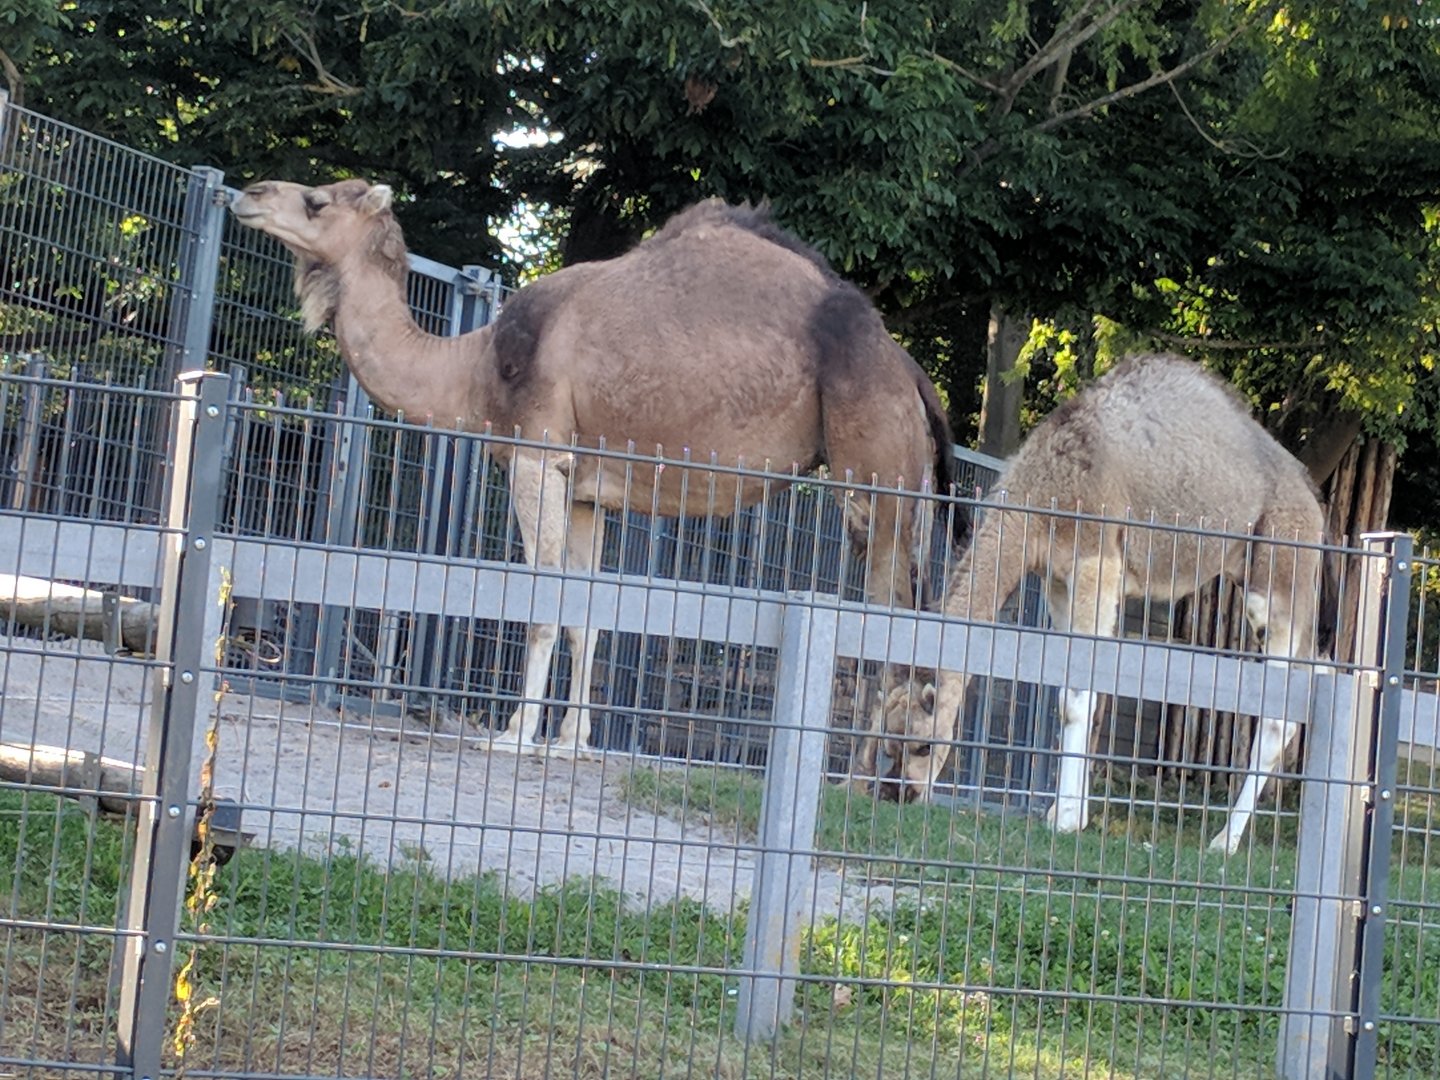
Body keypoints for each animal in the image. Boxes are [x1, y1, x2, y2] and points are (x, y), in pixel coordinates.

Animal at [229, 178, 960, 769]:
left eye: (317, 201)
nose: (250, 193)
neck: (472, 369)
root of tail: (912, 375)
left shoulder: (536, 453)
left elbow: (542, 600)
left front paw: (514, 734)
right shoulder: (585, 487)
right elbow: (588, 613)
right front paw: (572, 740)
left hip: (876, 466)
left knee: (895, 609)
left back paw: (870, 769)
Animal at [876, 353, 1333, 855]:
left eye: (922, 743)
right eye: (886, 743)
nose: (898, 793)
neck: (1045, 492)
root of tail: (1315, 505)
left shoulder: (1096, 567)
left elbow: (1080, 696)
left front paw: (1065, 820)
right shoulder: (1057, 583)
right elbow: (1070, 695)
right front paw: (1064, 812)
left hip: (1278, 579)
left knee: (1280, 712)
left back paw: (1224, 842)